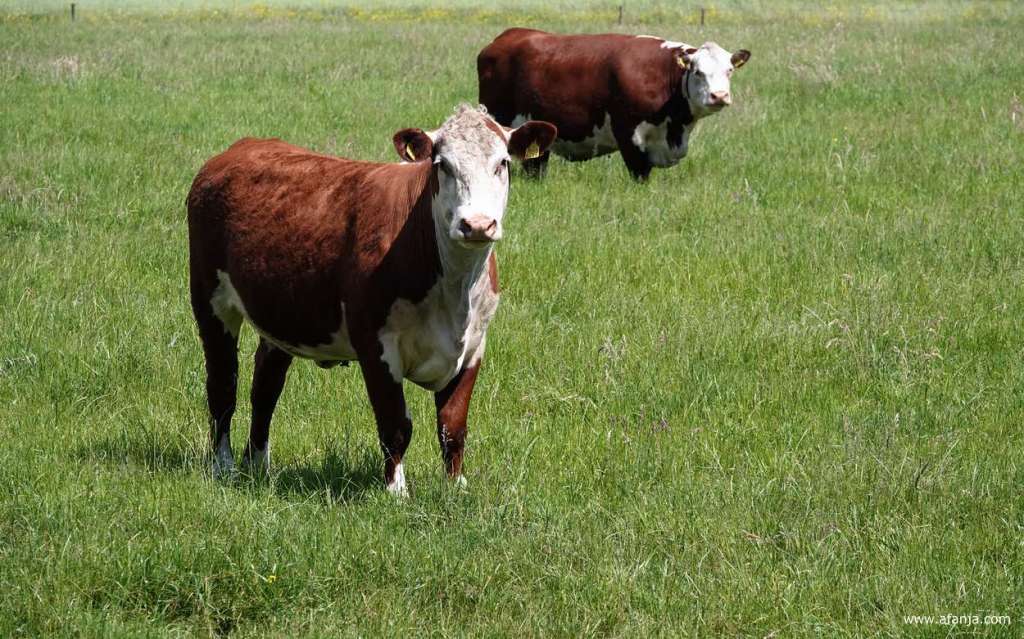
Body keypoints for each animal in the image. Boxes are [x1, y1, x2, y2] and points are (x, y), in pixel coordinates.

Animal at [186, 104, 556, 495]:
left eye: (502, 162)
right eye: (442, 164)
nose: (477, 224)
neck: (454, 290)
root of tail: (239, 149)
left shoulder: (474, 345)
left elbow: (453, 426)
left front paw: (455, 487)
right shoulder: (375, 342)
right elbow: (395, 424)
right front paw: (396, 491)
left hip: (280, 315)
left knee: (265, 388)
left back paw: (257, 464)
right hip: (210, 300)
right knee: (223, 384)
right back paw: (224, 465)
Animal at [477, 29, 750, 181]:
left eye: (729, 71)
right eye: (698, 72)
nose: (719, 96)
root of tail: (505, 37)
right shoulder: (629, 134)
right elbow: (639, 174)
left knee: (536, 167)